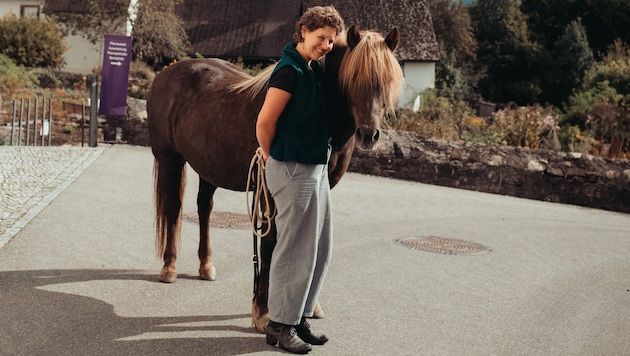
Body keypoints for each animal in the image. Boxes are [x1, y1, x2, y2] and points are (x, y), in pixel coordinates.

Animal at [147, 25, 404, 334]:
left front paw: (308, 307)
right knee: (173, 209)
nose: (369, 134)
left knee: (204, 208)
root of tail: (167, 74)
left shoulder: (321, 189)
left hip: (209, 166)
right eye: (353, 77)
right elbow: (270, 242)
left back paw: (206, 266)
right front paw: (262, 310)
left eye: (387, 80)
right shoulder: (269, 192)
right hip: (170, 160)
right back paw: (169, 267)